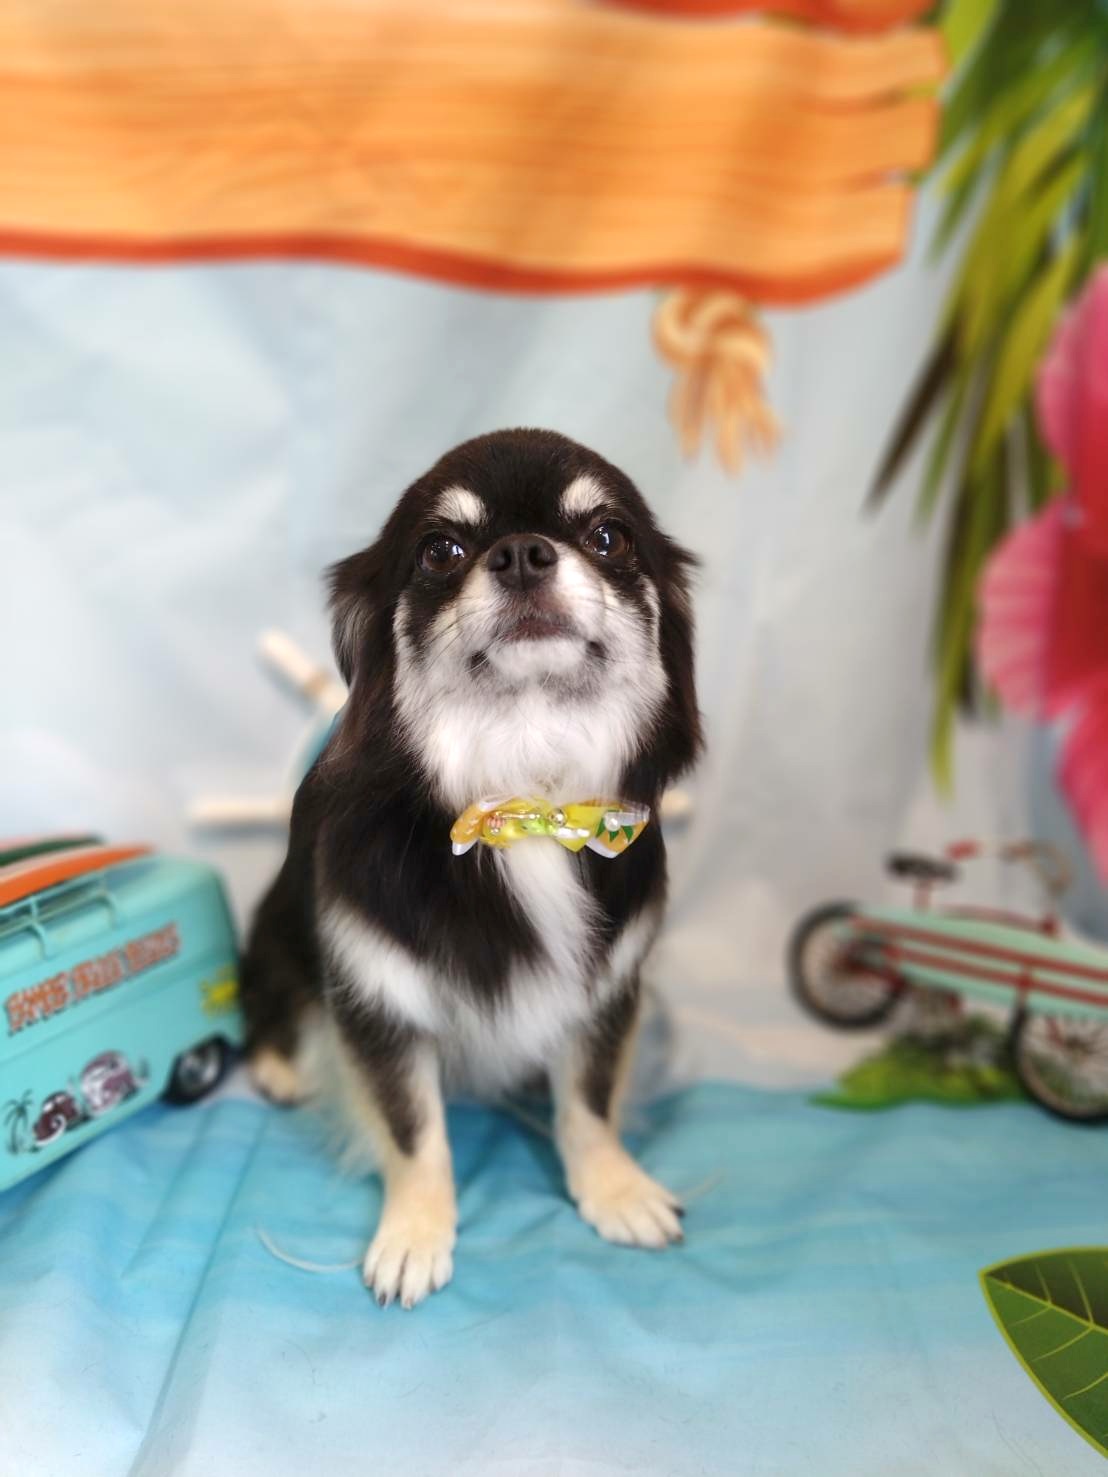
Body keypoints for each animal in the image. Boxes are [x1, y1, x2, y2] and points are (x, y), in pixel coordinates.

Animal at [240, 428, 701, 1307]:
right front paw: (415, 1236)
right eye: (440, 551)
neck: (525, 792)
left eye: (609, 536)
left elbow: (588, 1103)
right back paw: (279, 1066)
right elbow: (415, 1131)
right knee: (269, 994)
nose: (523, 552)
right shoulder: (377, 1000)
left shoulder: (607, 992)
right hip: (279, 924)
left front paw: (615, 1189)